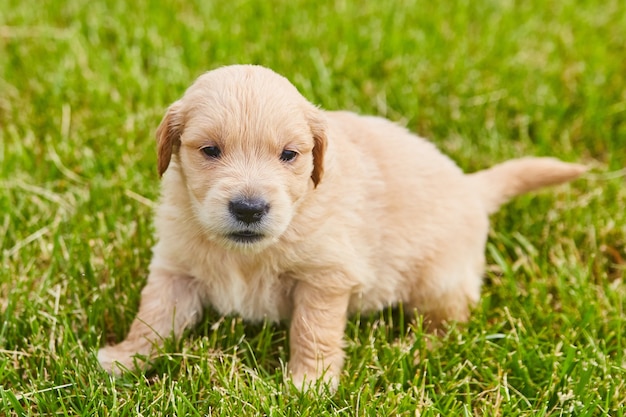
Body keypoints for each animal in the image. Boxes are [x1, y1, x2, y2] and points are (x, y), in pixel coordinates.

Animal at [95, 63, 584, 388]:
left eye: (289, 155)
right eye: (210, 150)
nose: (249, 208)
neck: (248, 252)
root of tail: (472, 186)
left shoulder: (325, 276)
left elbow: (313, 329)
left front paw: (308, 384)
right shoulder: (175, 268)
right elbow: (154, 315)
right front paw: (126, 358)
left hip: (440, 280)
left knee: (449, 322)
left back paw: (416, 347)